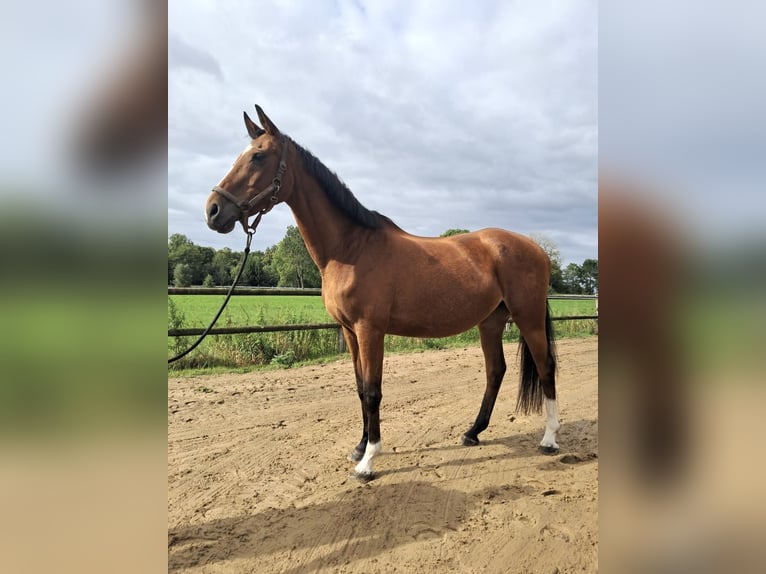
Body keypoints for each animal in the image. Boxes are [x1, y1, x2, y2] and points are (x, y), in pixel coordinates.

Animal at [205, 105, 559, 480]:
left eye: (258, 156)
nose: (213, 210)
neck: (351, 248)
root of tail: (536, 248)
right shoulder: (349, 331)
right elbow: (361, 388)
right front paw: (360, 446)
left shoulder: (369, 329)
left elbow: (374, 391)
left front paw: (368, 461)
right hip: (490, 322)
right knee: (496, 371)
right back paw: (472, 432)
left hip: (528, 317)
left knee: (545, 366)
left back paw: (549, 439)